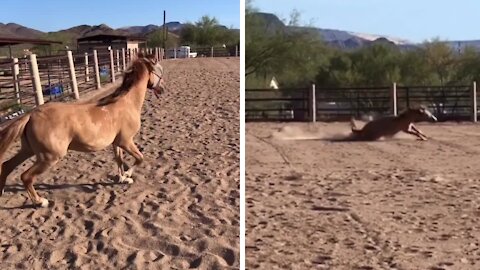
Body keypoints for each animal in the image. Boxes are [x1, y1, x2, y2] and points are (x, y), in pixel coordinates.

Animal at [0, 53, 167, 208]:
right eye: (159, 71)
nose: (163, 89)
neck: (127, 103)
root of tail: (31, 115)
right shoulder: (126, 141)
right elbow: (140, 158)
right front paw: (127, 175)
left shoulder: (116, 143)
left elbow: (119, 160)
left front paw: (123, 179)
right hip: (49, 157)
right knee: (26, 176)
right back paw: (41, 201)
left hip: (28, 150)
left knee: (7, 165)